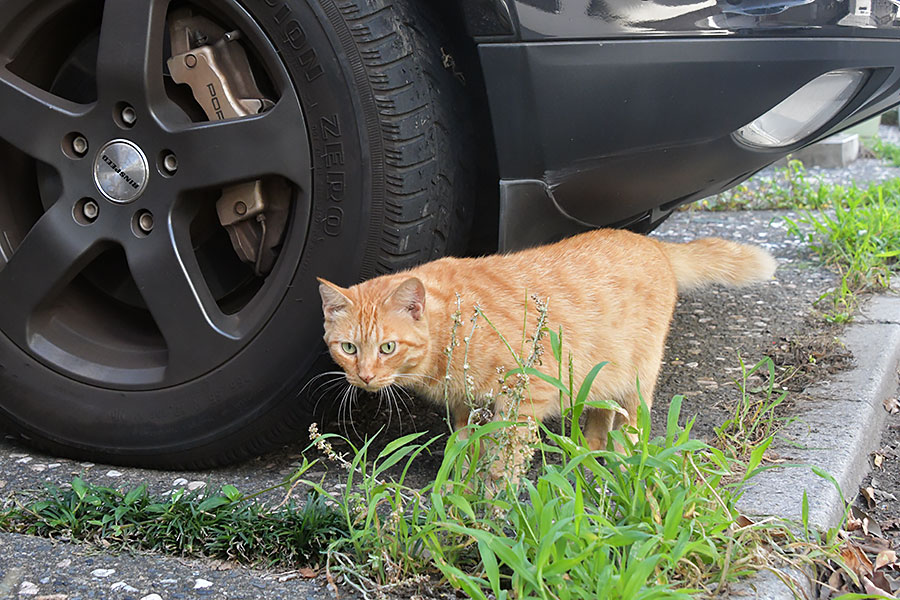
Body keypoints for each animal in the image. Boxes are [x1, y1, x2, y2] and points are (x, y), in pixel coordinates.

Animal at [316, 229, 772, 450]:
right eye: (349, 348)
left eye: (387, 348)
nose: (365, 377)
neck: (451, 324)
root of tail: (651, 242)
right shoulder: (465, 404)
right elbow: (463, 446)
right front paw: (459, 487)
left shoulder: (526, 394)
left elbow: (504, 457)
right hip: (599, 375)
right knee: (599, 418)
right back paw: (589, 452)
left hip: (638, 379)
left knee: (630, 424)